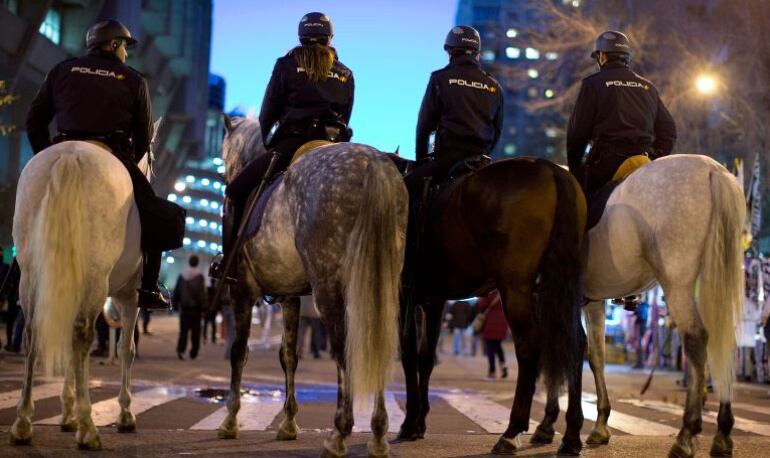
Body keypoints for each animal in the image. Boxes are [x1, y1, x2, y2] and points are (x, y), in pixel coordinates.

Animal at [9, 134, 158, 450]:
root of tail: (70, 154)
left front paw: (67, 414)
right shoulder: (130, 296)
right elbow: (125, 349)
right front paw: (125, 414)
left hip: (32, 274)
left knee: (32, 332)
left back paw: (23, 423)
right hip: (96, 277)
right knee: (81, 334)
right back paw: (89, 428)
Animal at [216, 115, 408, 458]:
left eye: (225, 152)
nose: (225, 174)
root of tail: (372, 163)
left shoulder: (241, 292)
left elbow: (239, 352)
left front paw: (230, 420)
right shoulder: (290, 296)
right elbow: (288, 355)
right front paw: (288, 423)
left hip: (330, 292)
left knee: (345, 351)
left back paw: (339, 434)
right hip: (380, 287)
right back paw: (377, 435)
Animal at [392, 155, 584, 454]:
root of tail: (552, 169)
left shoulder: (405, 298)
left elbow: (410, 355)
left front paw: (410, 423)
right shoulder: (434, 302)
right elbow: (426, 357)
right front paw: (420, 421)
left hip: (515, 289)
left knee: (529, 348)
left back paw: (512, 432)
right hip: (555, 289)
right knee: (574, 344)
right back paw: (572, 435)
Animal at [528, 155, 744, 458]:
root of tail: (712, 169)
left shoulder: (548, 299)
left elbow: (554, 352)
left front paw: (548, 424)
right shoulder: (592, 302)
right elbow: (596, 356)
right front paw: (600, 426)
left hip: (677, 283)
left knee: (696, 340)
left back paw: (686, 435)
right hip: (713, 279)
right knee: (720, 344)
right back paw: (723, 433)